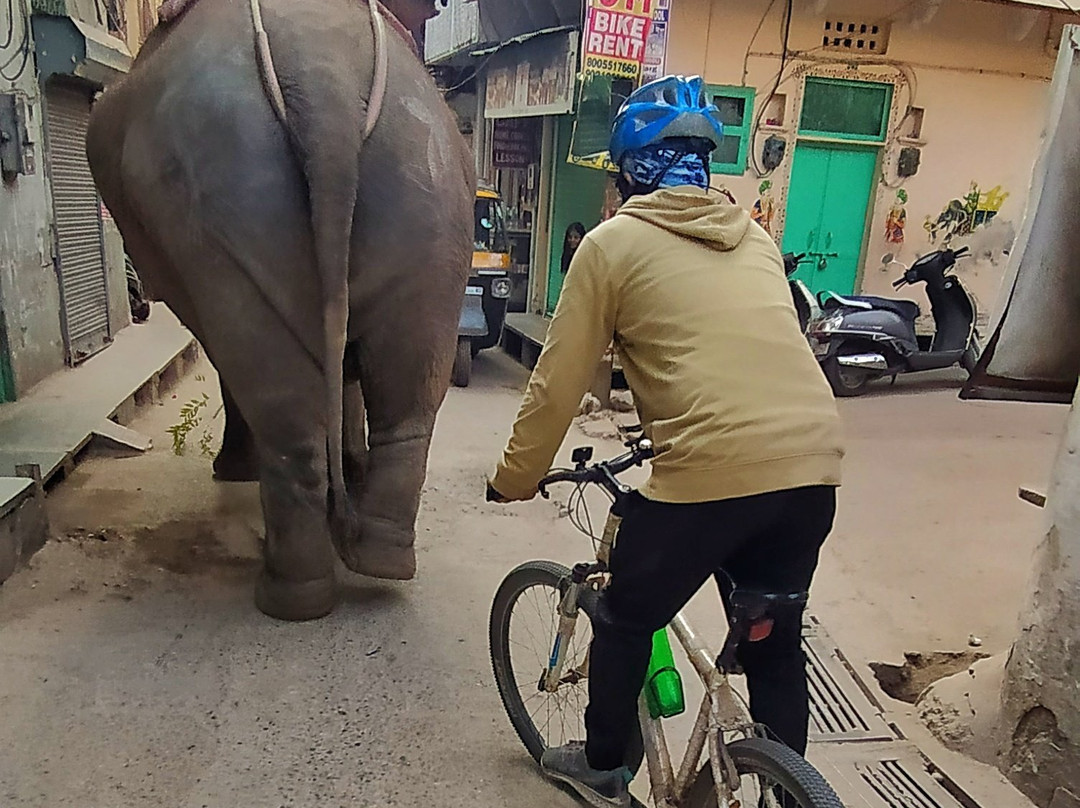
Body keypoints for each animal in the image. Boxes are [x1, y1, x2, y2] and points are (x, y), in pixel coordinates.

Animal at [90, 0, 479, 622]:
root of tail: (325, 79)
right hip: (427, 194)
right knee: (408, 395)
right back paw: (379, 559)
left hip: (228, 196)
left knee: (273, 391)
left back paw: (288, 593)